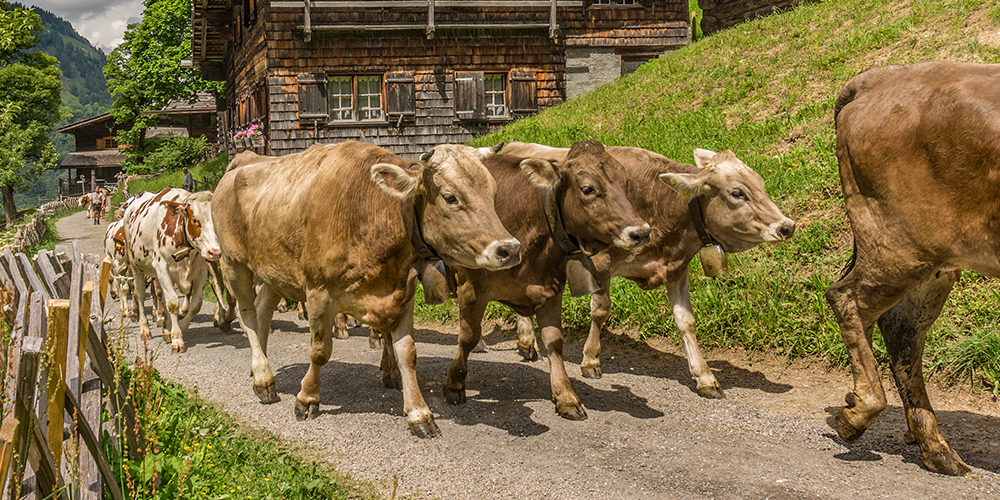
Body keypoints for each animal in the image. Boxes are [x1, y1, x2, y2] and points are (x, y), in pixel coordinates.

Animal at [123, 187, 221, 352]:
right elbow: (173, 303)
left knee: (161, 295)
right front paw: (177, 338)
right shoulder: (162, 267)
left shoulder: (201, 269)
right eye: (195, 220)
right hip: (136, 267)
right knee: (140, 296)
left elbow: (196, 304)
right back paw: (145, 329)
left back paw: (166, 328)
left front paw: (180, 326)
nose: (214, 252)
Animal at [213, 141, 524, 438]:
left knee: (263, 313)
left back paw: (260, 366)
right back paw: (263, 378)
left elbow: (408, 353)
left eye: (493, 193)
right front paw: (307, 398)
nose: (509, 249)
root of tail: (244, 162)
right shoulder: (319, 290)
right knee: (248, 315)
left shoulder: (402, 291)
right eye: (450, 197)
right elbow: (320, 350)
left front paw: (419, 413)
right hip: (234, 263)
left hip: (274, 272)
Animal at [386, 139, 652, 420]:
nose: (641, 232)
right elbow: (467, 337)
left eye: (625, 182)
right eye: (588, 189)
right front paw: (454, 384)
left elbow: (554, 341)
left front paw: (565, 396)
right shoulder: (473, 290)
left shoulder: (550, 288)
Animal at [500, 141, 796, 398]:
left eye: (761, 184)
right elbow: (600, 311)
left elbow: (686, 322)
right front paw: (591, 359)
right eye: (737, 193)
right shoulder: (602, 264)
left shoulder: (677, 268)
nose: (787, 226)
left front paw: (704, 376)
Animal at [820, 60, 1000, 478]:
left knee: (901, 330)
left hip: (933, 264)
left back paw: (937, 450)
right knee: (847, 299)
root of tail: (878, 78)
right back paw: (857, 413)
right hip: (900, 250)